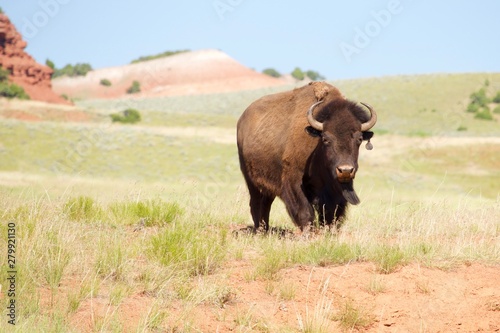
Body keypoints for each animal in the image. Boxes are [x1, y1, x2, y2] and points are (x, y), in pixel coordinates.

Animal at [237, 81, 376, 231]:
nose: (345, 170)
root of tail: (241, 120)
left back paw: (265, 229)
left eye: (359, 139)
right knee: (256, 204)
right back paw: (260, 230)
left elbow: (331, 214)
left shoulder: (334, 192)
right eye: (326, 139)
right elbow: (305, 212)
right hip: (251, 181)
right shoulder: (294, 182)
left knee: (265, 204)